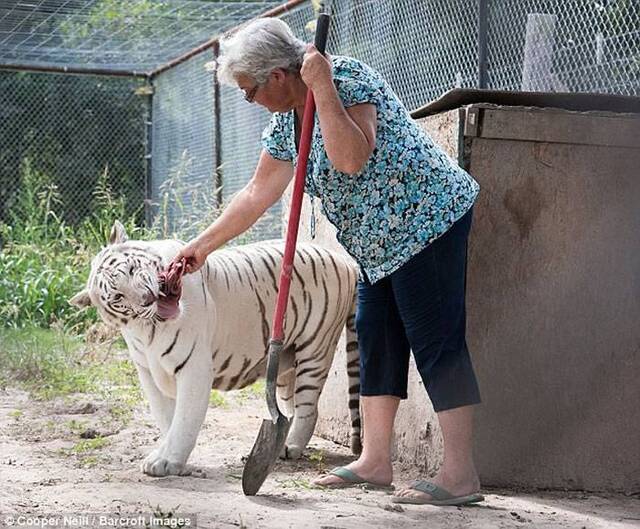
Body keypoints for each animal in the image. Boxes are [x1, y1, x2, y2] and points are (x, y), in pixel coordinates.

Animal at [70, 221, 362, 476]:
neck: (147, 331)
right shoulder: (149, 373)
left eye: (132, 269)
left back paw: (291, 446)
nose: (147, 298)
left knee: (309, 409)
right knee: (290, 408)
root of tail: (346, 261)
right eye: (118, 297)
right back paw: (282, 443)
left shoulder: (194, 368)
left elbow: (184, 419)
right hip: (286, 362)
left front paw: (168, 461)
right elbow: (166, 418)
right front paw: (166, 454)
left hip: (314, 351)